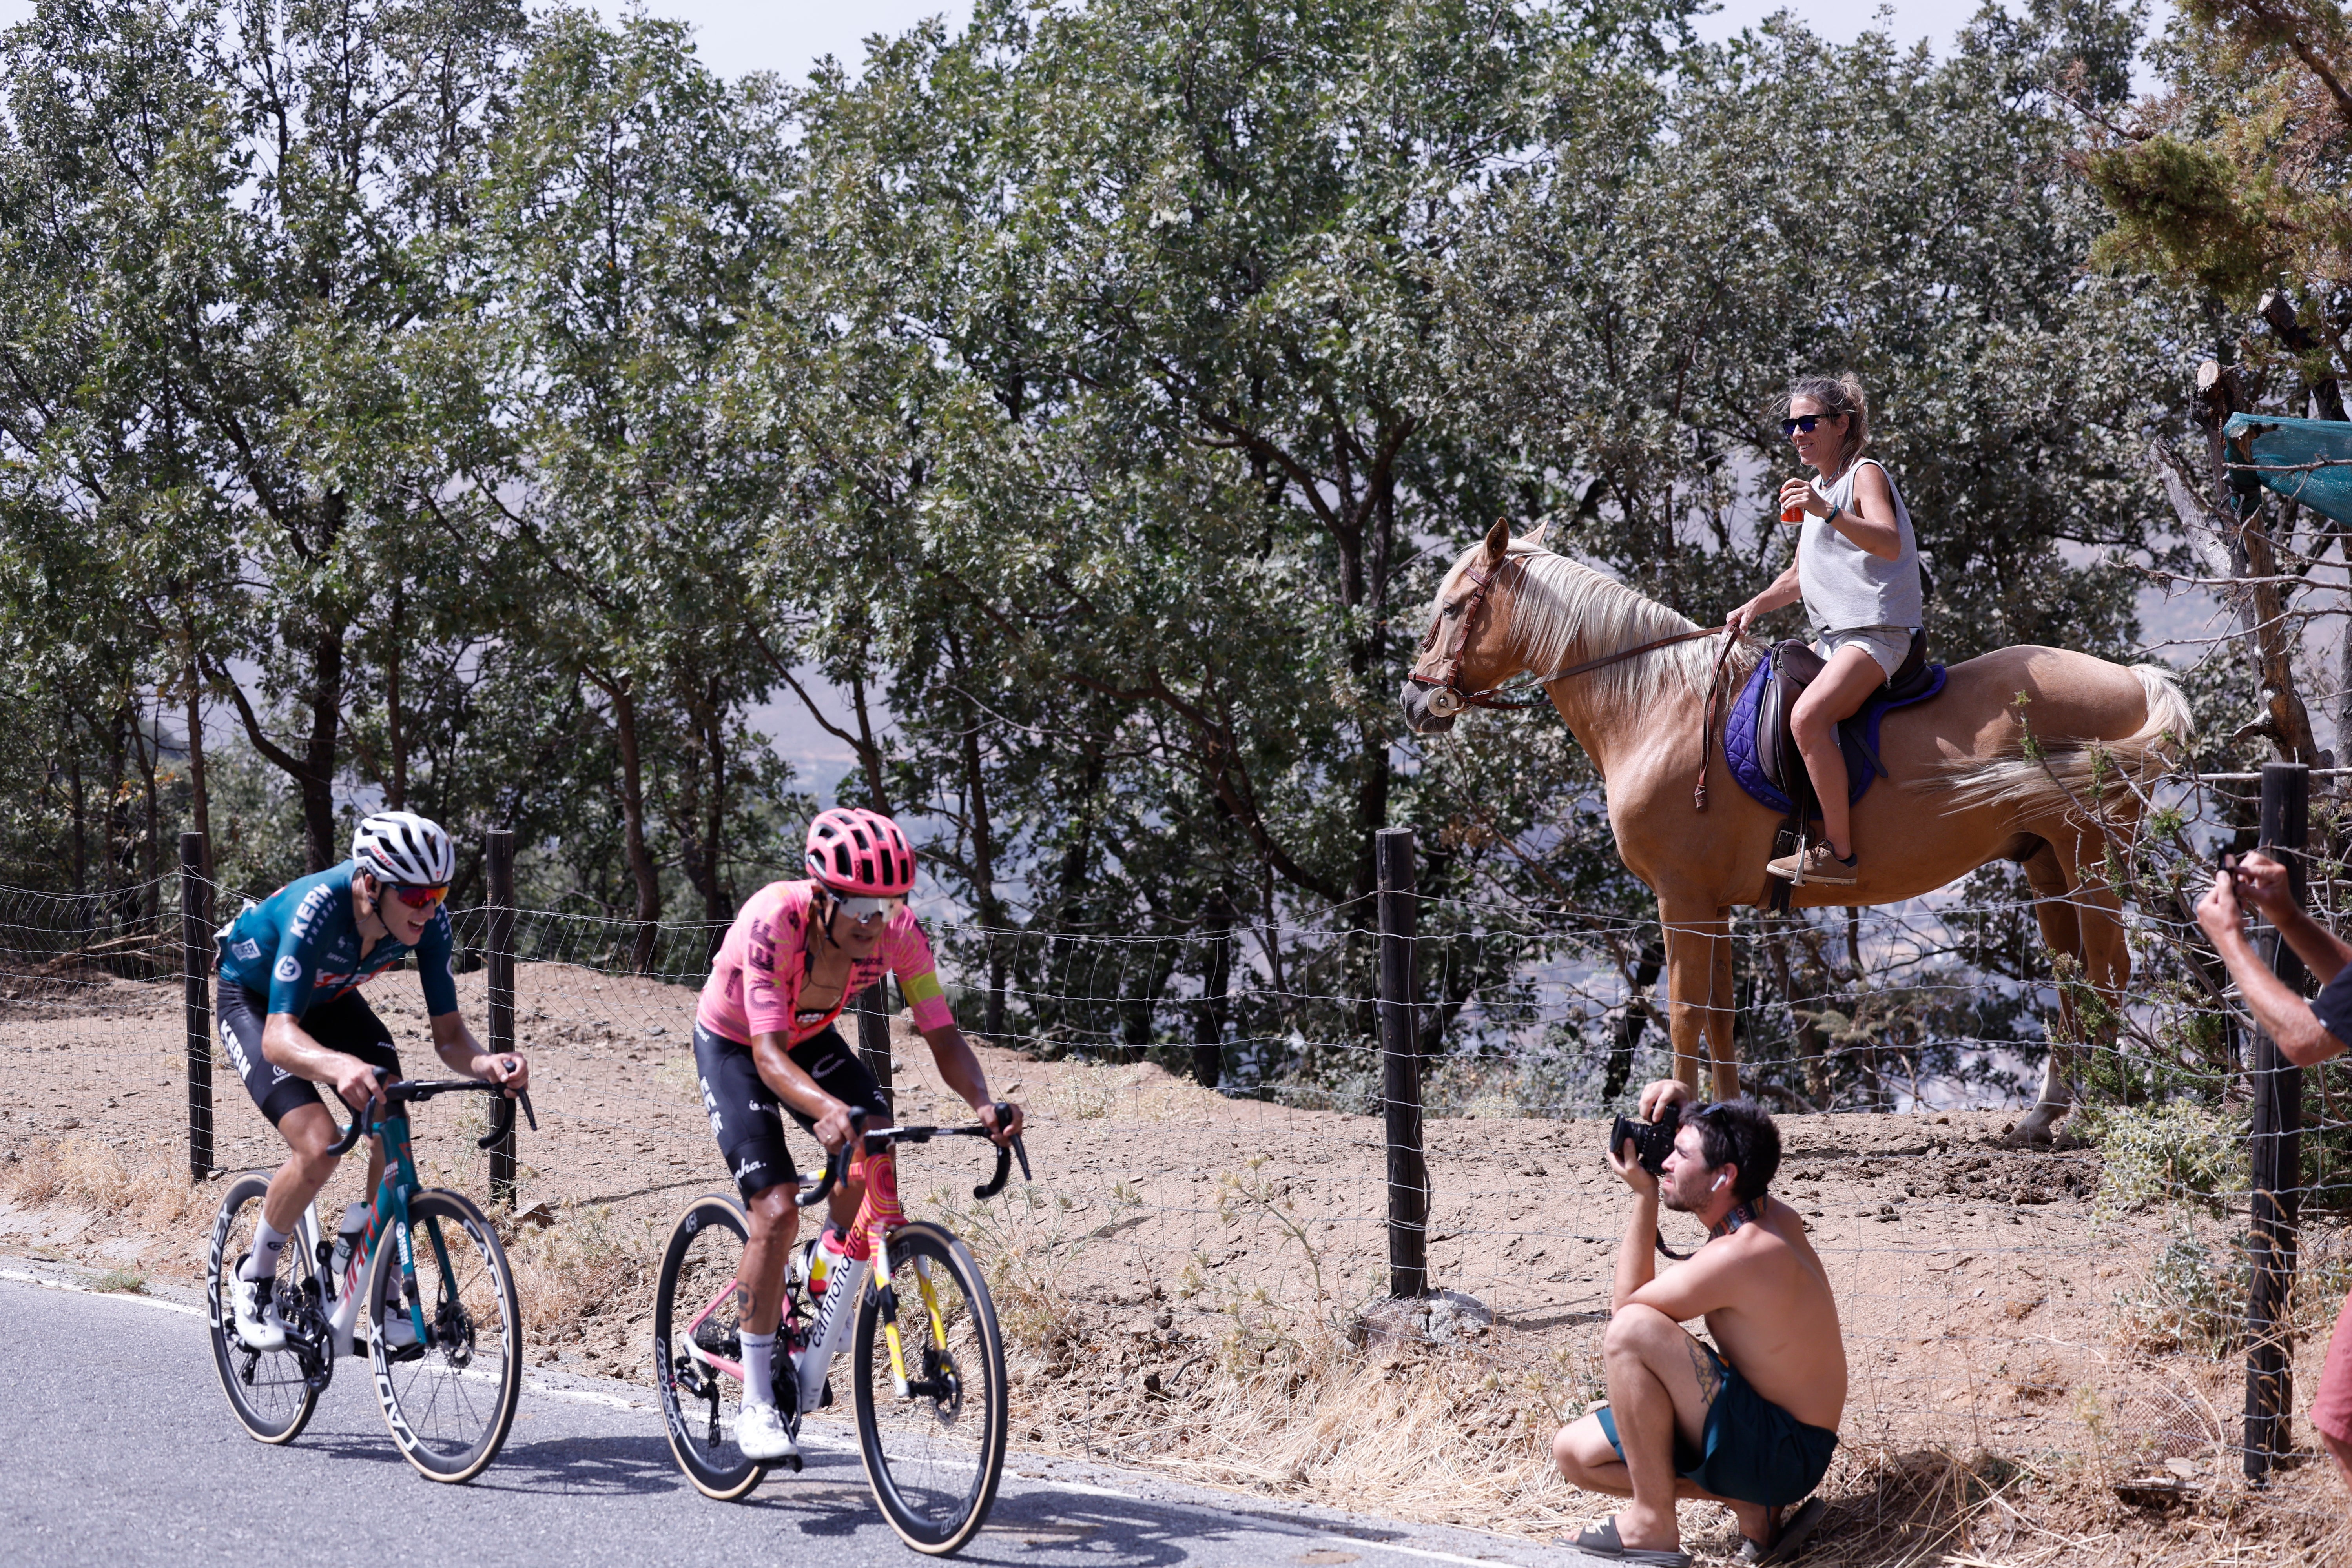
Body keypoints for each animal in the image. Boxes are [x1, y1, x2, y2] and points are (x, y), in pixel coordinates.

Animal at [1392, 522, 2182, 1147]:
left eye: (1454, 607)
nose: (1413, 700)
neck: (1660, 707)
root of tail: (2131, 679)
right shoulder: (1711, 907)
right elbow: (1719, 1016)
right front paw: (1718, 1121)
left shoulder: (1681, 901)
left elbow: (1684, 1013)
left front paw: (1671, 1126)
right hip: (2045, 863)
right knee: (2073, 978)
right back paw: (2043, 1118)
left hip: (2088, 857)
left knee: (2108, 973)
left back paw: (2096, 1115)